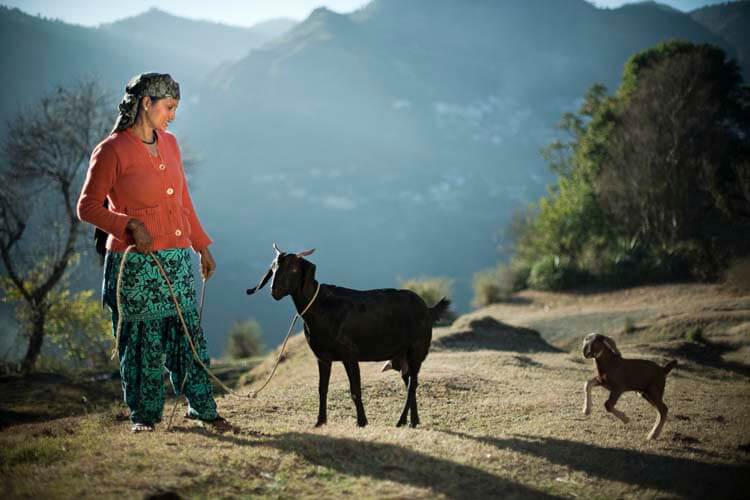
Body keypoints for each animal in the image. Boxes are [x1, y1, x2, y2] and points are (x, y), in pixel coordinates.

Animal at [247, 244, 450, 428]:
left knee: (413, 385)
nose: (274, 290)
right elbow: (322, 389)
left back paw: (402, 421)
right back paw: (412, 421)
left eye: (294, 268)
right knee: (410, 383)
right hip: (400, 357)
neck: (321, 308)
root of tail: (428, 309)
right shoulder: (323, 357)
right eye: (273, 267)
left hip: (416, 350)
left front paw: (362, 422)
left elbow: (355, 389)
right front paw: (320, 422)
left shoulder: (350, 354)